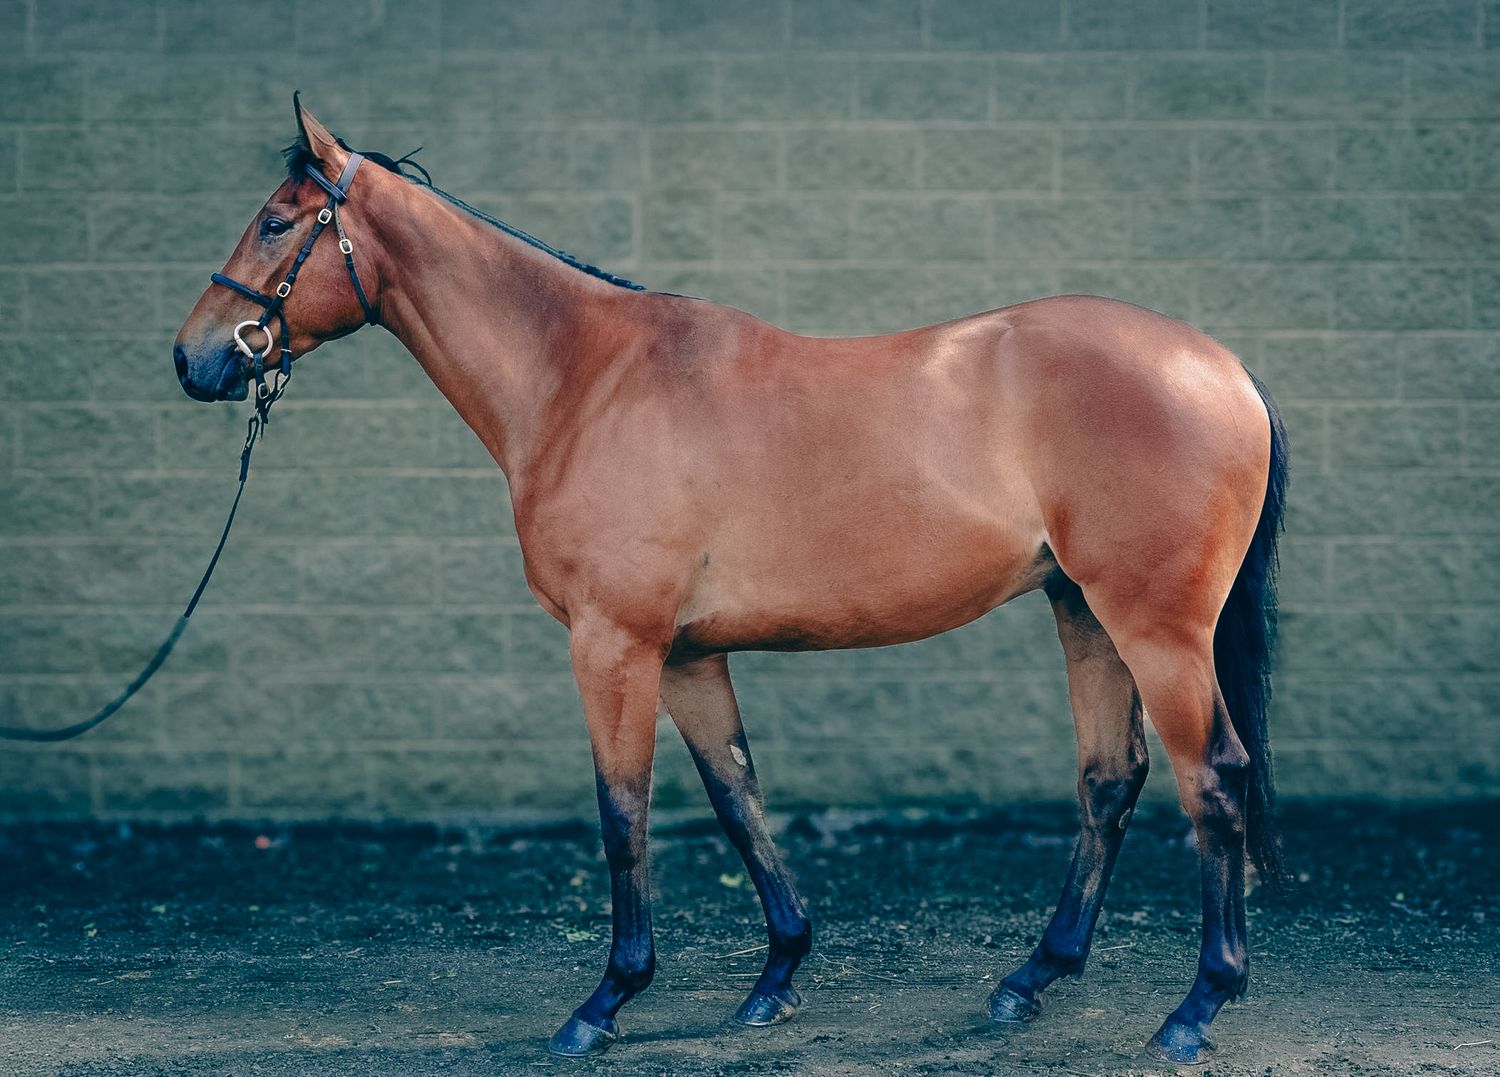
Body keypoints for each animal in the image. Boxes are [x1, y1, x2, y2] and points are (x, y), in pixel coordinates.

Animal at [173, 98, 1288, 1066]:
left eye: (277, 223)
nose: (193, 359)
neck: (583, 378)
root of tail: (1222, 367)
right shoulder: (688, 655)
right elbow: (736, 797)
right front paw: (775, 977)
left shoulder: (613, 642)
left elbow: (622, 811)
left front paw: (606, 1000)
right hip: (1084, 611)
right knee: (1110, 779)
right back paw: (1031, 979)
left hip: (1155, 627)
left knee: (1211, 779)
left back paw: (1194, 1009)